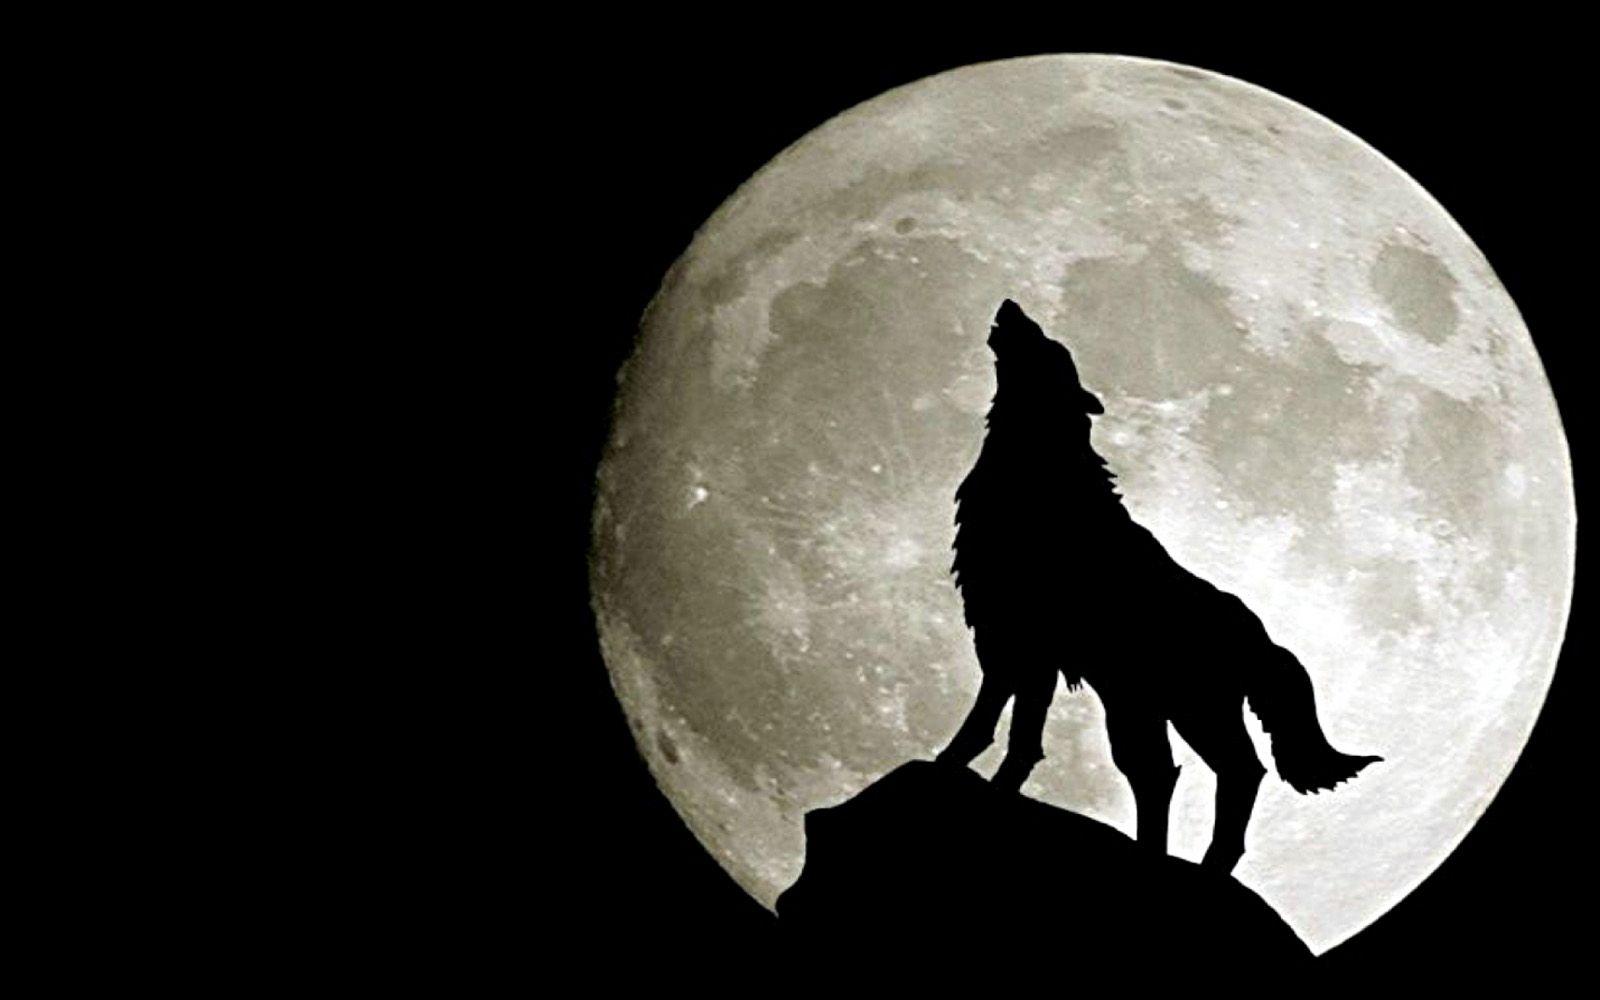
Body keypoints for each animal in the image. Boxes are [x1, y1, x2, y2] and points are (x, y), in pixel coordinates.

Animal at [936, 299, 1380, 873]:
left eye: (1050, 347)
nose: (1012, 306)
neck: (1040, 471)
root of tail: (1261, 636)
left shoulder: (1018, 640)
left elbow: (992, 725)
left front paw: (952, 768)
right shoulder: (1023, 649)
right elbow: (1017, 733)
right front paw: (988, 783)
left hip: (1185, 709)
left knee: (1231, 771)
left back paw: (1202, 864)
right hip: (1142, 706)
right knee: (1162, 773)